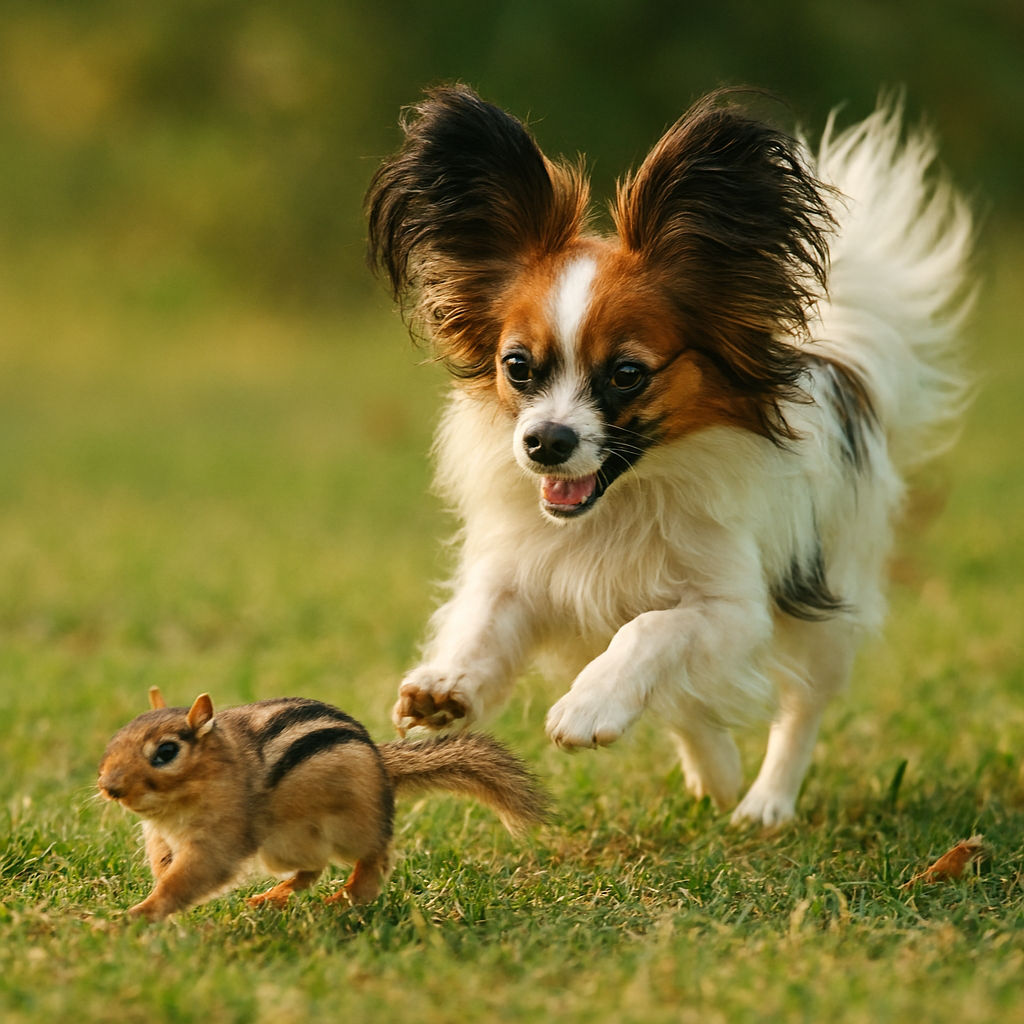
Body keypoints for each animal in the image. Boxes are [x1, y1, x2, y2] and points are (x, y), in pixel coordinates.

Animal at [97, 687, 549, 921]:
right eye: (117, 736)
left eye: (166, 752)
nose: (109, 787)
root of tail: (382, 766)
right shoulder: (161, 837)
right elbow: (165, 868)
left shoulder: (222, 835)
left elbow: (189, 878)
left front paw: (138, 915)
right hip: (284, 846)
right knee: (311, 871)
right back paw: (269, 898)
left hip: (347, 829)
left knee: (377, 857)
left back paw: (345, 899)